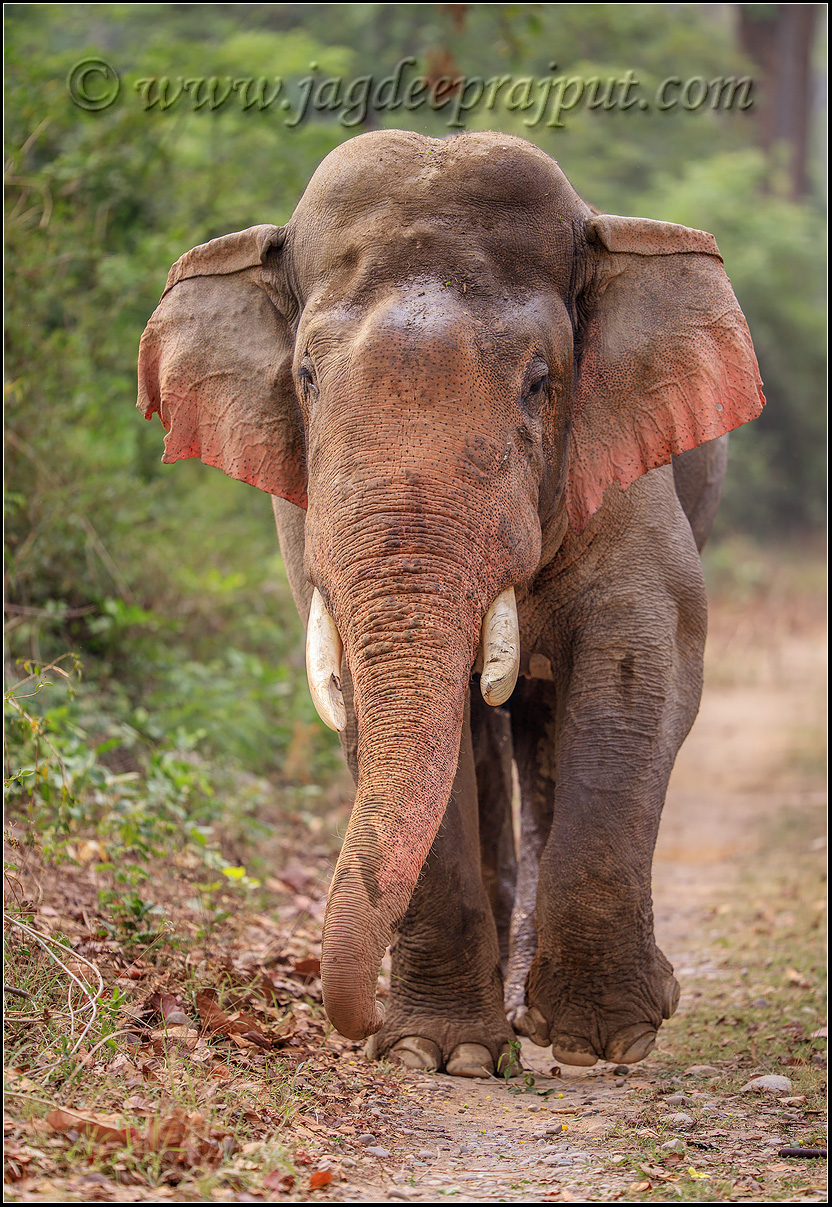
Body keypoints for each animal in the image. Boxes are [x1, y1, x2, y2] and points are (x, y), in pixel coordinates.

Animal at [137, 129, 764, 1077]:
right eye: (306, 376)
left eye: (541, 380)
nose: (350, 1020)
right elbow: (376, 701)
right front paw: (440, 1053)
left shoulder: (625, 465)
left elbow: (641, 667)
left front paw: (606, 1039)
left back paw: (554, 1016)